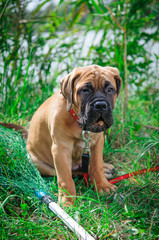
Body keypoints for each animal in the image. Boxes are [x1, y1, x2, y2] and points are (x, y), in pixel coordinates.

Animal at [25, 64, 120, 205]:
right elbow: (65, 178)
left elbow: (97, 166)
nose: (101, 105)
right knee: (72, 173)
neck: (78, 122)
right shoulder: (60, 149)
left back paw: (106, 168)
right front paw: (67, 201)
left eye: (110, 89)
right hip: (35, 161)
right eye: (85, 90)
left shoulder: (97, 143)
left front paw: (103, 186)